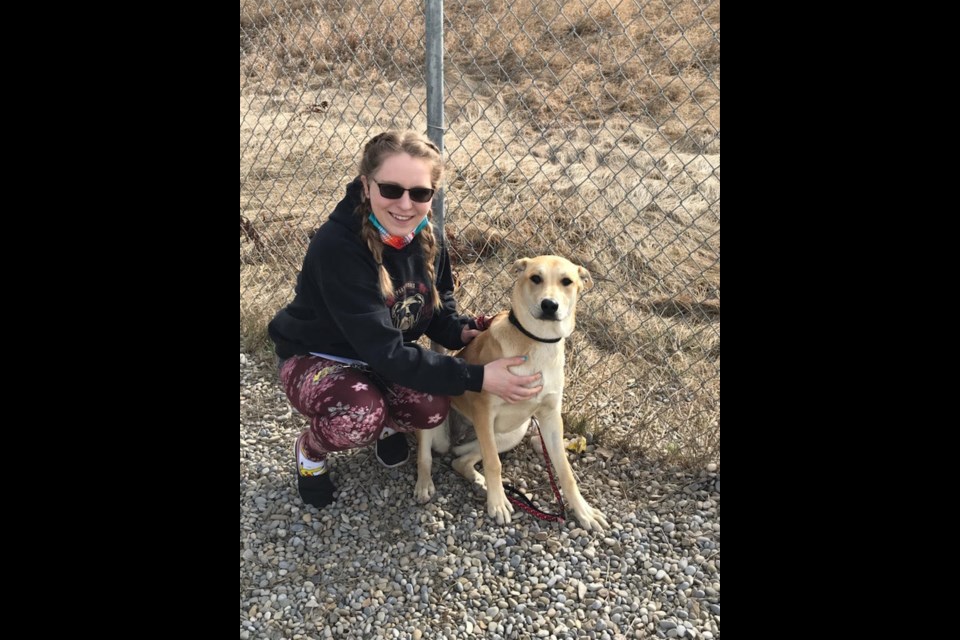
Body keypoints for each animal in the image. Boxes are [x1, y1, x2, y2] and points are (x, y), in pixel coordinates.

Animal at [412, 255, 608, 528]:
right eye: (535, 277)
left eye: (567, 281)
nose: (549, 305)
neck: (538, 342)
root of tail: (455, 441)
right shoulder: (484, 410)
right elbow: (494, 463)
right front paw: (497, 504)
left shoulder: (550, 418)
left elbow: (565, 472)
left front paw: (584, 511)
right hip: (438, 419)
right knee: (426, 456)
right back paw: (424, 485)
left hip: (515, 431)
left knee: (460, 460)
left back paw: (479, 480)